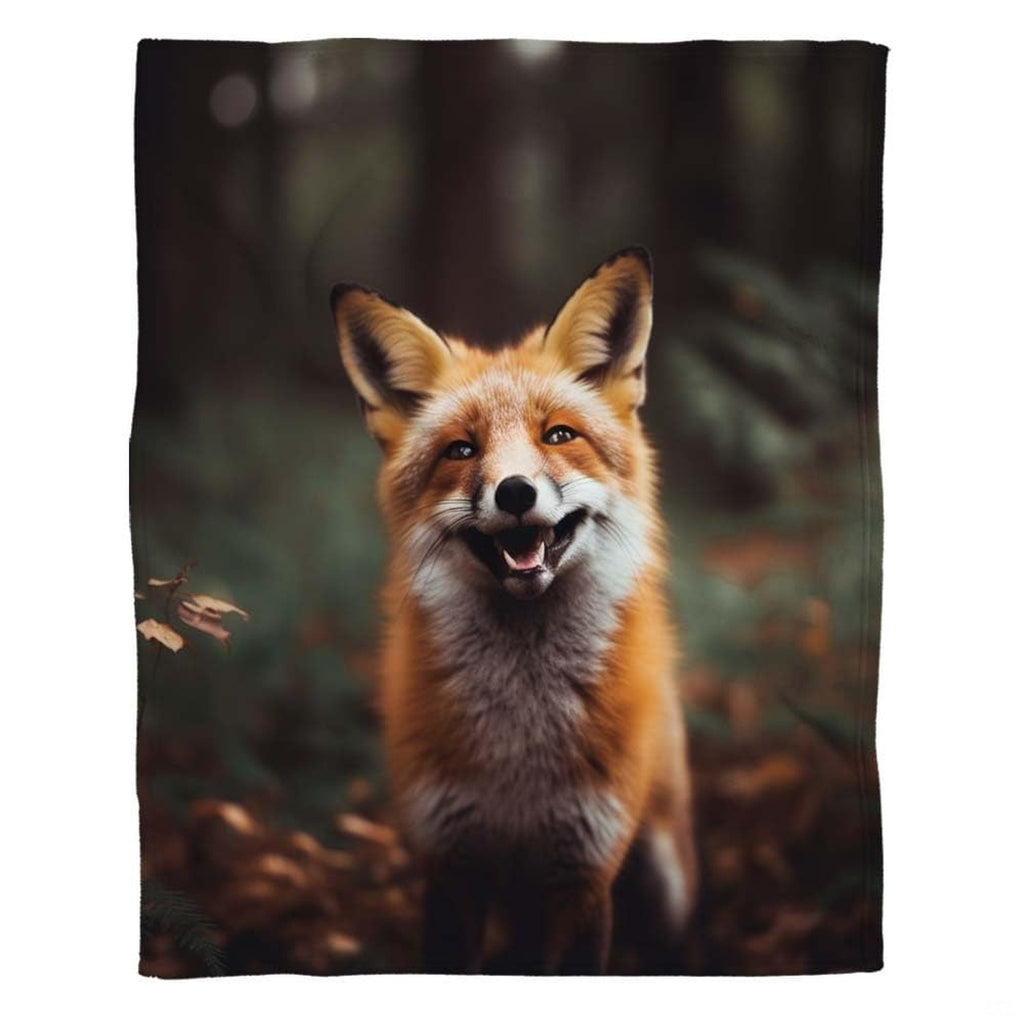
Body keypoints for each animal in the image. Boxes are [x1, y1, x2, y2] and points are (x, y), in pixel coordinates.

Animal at [331, 247, 697, 974]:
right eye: (461, 450)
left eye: (558, 435)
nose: (516, 491)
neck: (521, 754)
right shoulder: (450, 865)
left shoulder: (584, 873)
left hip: (663, 883)